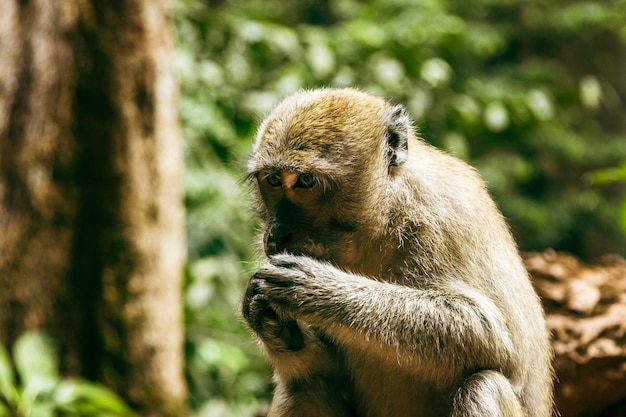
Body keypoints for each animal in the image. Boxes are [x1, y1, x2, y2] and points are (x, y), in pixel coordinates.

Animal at [239, 88, 552, 416]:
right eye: (273, 179)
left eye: (306, 181)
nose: (276, 233)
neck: (384, 216)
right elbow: (320, 372)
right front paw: (269, 321)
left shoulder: (441, 218)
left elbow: (490, 335)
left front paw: (317, 289)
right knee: (304, 386)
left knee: (484, 384)